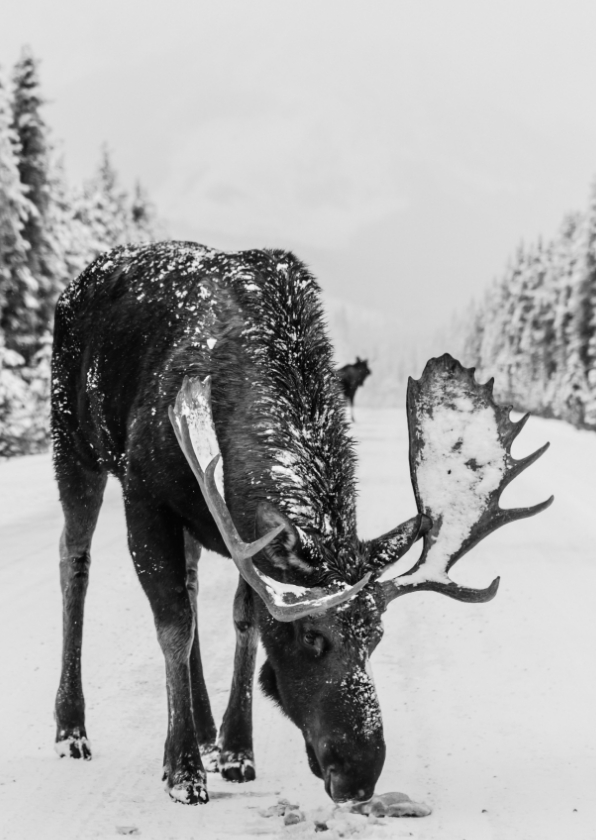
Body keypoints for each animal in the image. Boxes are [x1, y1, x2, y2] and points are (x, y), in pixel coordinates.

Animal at [52, 241, 556, 808]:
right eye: (313, 637)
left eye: (377, 637)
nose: (359, 775)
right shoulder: (145, 492)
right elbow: (174, 626)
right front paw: (182, 770)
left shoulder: (240, 529)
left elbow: (244, 621)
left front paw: (236, 749)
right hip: (73, 444)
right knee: (75, 561)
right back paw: (72, 729)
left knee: (191, 581)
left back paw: (205, 728)